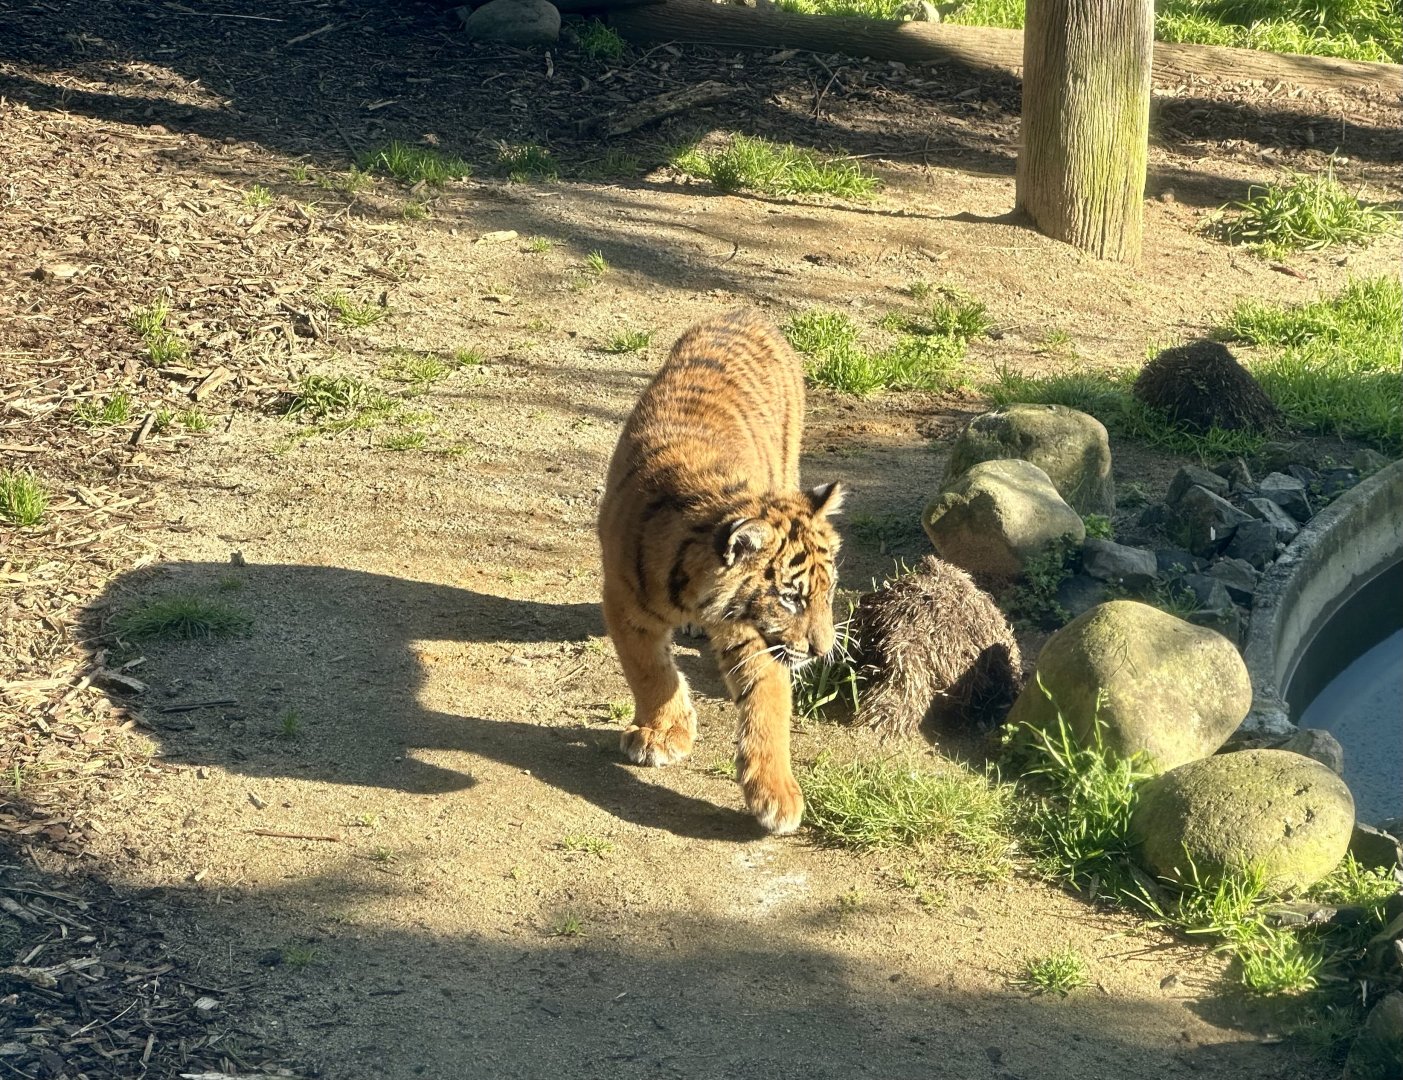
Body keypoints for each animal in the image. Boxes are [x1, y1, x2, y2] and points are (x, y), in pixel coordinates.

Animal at [597, 308, 844, 835]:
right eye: (791, 598)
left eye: (827, 593)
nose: (822, 650)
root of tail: (745, 312)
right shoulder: (623, 602)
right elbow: (648, 669)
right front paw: (662, 733)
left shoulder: (750, 633)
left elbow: (768, 702)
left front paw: (777, 796)